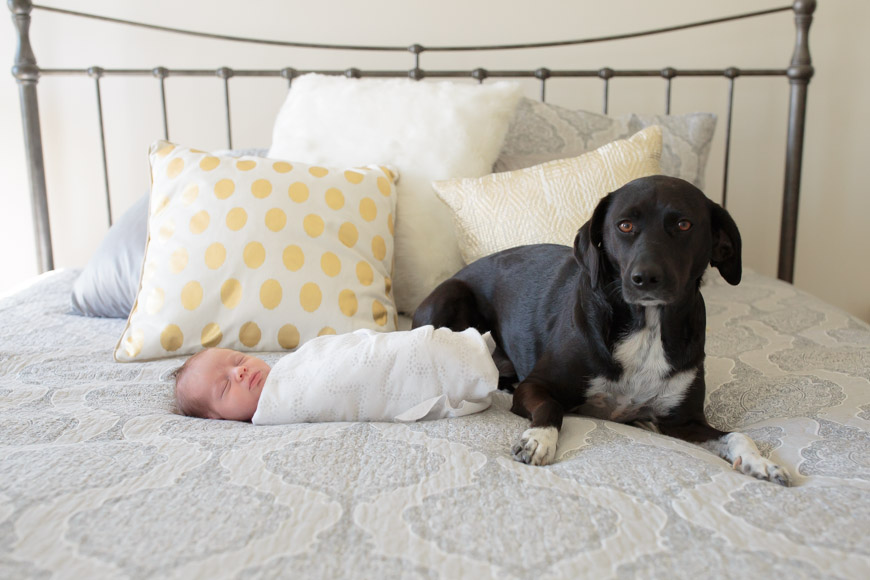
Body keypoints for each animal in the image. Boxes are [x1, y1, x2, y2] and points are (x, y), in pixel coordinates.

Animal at [414, 176, 792, 484]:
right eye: (624, 225)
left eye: (684, 224)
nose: (645, 278)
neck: (647, 327)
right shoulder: (537, 385)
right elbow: (551, 408)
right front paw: (538, 440)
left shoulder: (682, 422)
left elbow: (737, 435)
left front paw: (761, 462)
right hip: (452, 298)